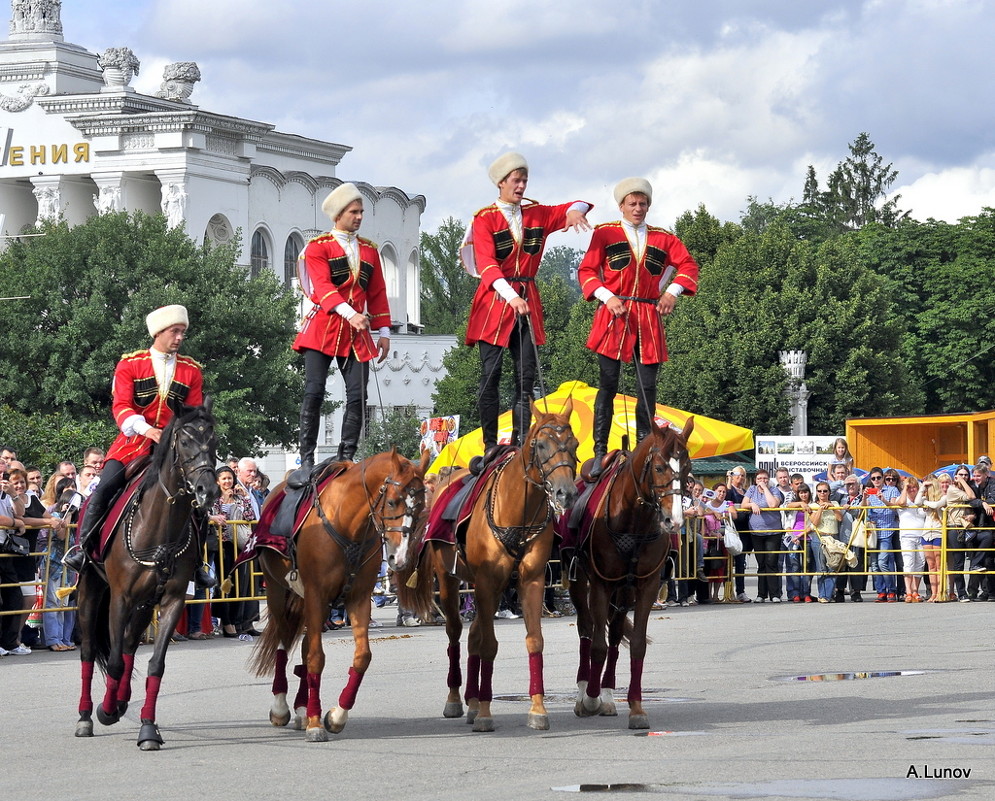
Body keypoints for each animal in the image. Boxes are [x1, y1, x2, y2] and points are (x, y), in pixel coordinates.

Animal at [73, 404, 220, 748]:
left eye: (214, 440)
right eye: (185, 440)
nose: (208, 490)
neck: (158, 526)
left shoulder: (171, 600)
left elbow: (155, 663)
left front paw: (148, 727)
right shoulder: (120, 598)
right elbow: (113, 661)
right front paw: (106, 711)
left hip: (144, 603)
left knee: (129, 643)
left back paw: (122, 698)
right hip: (91, 590)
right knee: (89, 650)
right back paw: (87, 715)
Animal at [249, 446, 428, 740]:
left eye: (421, 505)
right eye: (392, 502)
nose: (399, 558)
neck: (346, 525)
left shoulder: (357, 598)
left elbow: (361, 657)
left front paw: (334, 715)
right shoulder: (315, 595)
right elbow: (316, 659)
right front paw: (315, 722)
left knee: (304, 648)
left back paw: (301, 709)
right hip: (278, 593)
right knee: (283, 643)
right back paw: (281, 707)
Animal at [414, 400, 584, 732]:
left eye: (574, 444)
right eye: (540, 444)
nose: (566, 493)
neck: (517, 510)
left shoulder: (530, 581)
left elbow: (534, 641)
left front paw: (537, 709)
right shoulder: (486, 582)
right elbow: (489, 645)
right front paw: (484, 714)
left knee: (474, 636)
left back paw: (473, 699)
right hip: (452, 581)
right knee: (456, 633)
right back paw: (456, 700)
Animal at [568, 416, 692, 728]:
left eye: (687, 468)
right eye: (659, 467)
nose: (674, 521)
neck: (633, 519)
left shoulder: (646, 586)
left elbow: (636, 644)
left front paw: (635, 707)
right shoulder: (601, 584)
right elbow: (597, 645)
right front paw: (590, 698)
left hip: (624, 592)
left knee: (613, 636)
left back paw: (609, 696)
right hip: (581, 584)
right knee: (587, 631)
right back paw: (584, 693)